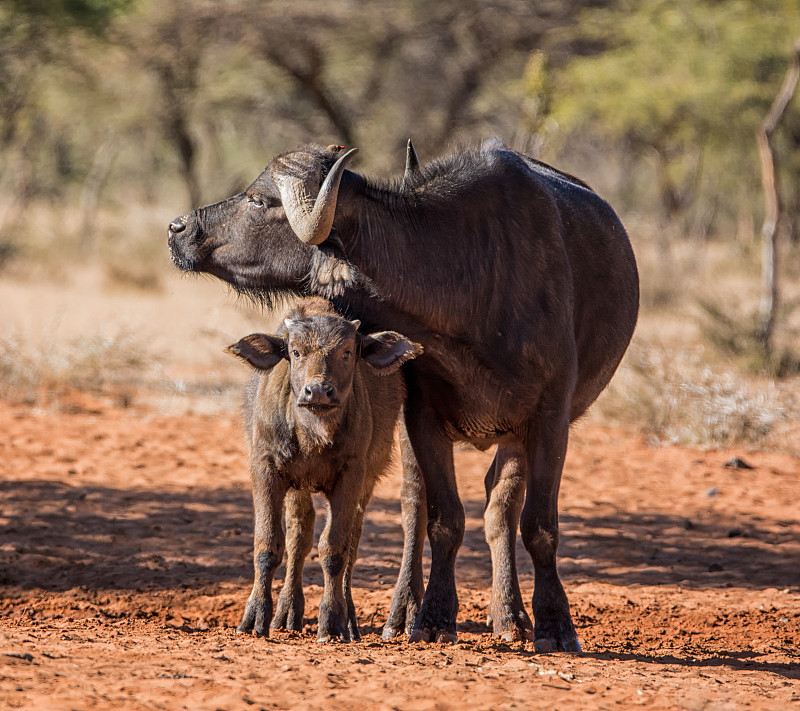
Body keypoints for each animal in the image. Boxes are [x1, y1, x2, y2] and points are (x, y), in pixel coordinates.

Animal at [227, 298, 422, 644]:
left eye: (347, 351)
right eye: (295, 352)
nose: (317, 391)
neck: (312, 434)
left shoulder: (352, 475)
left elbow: (334, 550)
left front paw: (331, 621)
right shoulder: (266, 468)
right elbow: (268, 544)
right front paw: (255, 617)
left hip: (365, 482)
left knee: (351, 542)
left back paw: (349, 620)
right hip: (297, 487)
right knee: (299, 534)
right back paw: (287, 612)